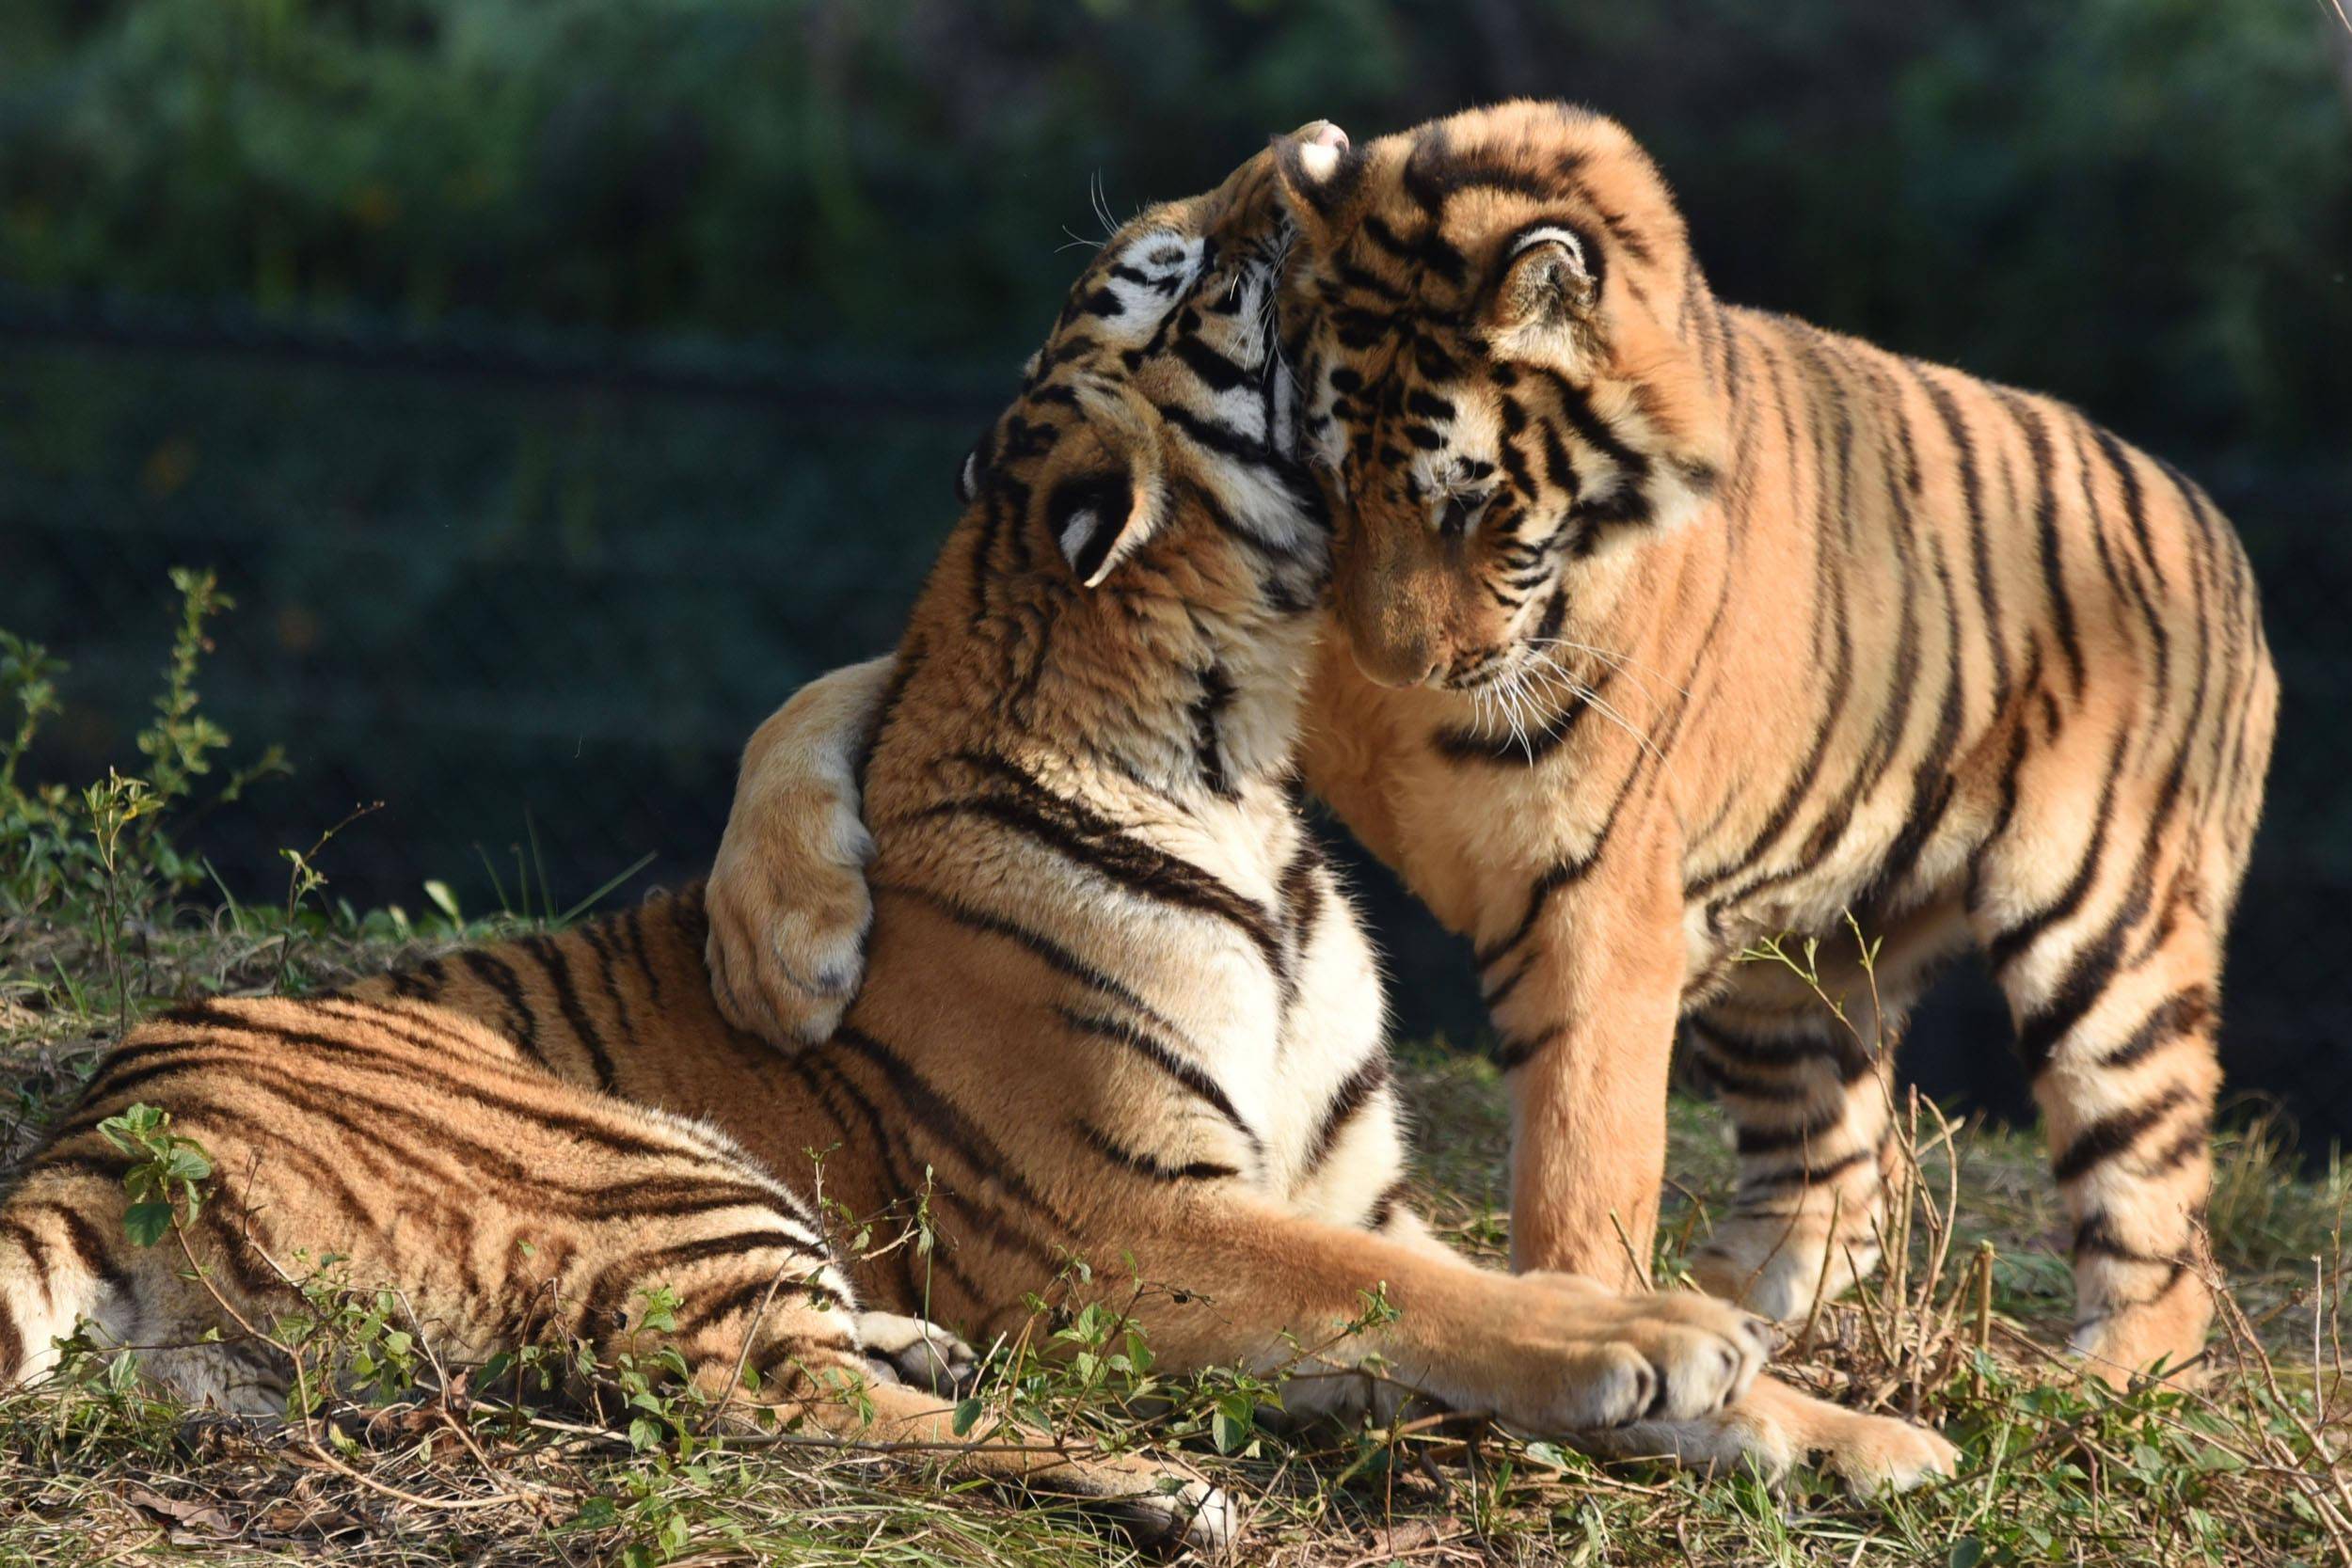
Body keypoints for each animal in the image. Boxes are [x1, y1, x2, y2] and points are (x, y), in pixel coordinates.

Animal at [0, 125, 1947, 1542]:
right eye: (1188, 279)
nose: (1321, 144)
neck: (1237, 748)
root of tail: (93, 1122)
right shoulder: (1125, 1212)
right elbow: (1418, 1292)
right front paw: (1661, 1341)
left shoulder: (1340, 1175)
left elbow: (1436, 1284)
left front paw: (1855, 1433)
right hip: (650, 1164)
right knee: (769, 1406)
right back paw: (1152, 1486)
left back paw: (950, 1356)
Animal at [701, 107, 2277, 1382]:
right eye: (1341, 475)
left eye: (1479, 511)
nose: (1293, 151)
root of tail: (2214, 516)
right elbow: (824, 692)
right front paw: (782, 949)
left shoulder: (1602, 898)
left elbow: (1583, 1159)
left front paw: (1596, 1328)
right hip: (1796, 970)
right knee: (1845, 1170)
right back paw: (1755, 1305)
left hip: (2107, 943)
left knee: (2159, 1231)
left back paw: (2084, 1383)